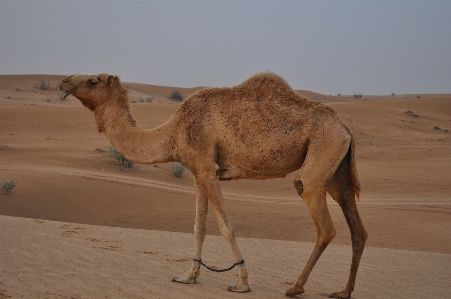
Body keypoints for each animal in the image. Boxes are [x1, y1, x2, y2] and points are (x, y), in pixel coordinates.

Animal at [59, 72, 368, 299]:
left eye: (93, 80)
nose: (63, 82)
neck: (172, 132)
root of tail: (344, 128)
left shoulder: (208, 169)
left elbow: (225, 227)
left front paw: (241, 283)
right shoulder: (197, 171)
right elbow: (199, 227)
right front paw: (188, 277)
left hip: (321, 157)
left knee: (323, 221)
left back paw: (295, 287)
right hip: (337, 170)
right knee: (358, 230)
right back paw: (344, 291)